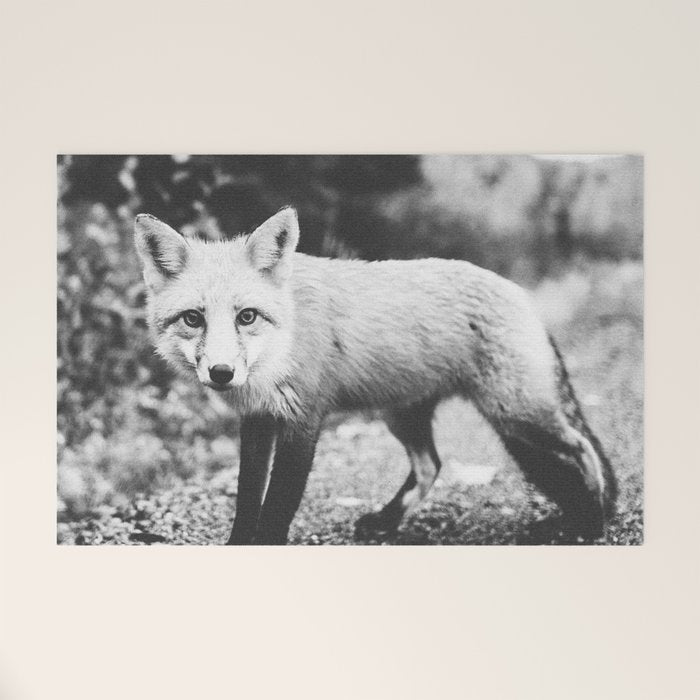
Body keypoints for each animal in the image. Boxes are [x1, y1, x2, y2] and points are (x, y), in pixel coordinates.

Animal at [134, 206, 617, 545]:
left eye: (247, 316)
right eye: (193, 318)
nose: (222, 373)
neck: (280, 347)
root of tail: (520, 292)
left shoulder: (304, 419)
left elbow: (277, 505)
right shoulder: (257, 420)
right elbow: (248, 498)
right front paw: (237, 544)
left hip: (517, 413)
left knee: (582, 447)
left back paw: (592, 521)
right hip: (404, 415)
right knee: (430, 465)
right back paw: (386, 521)